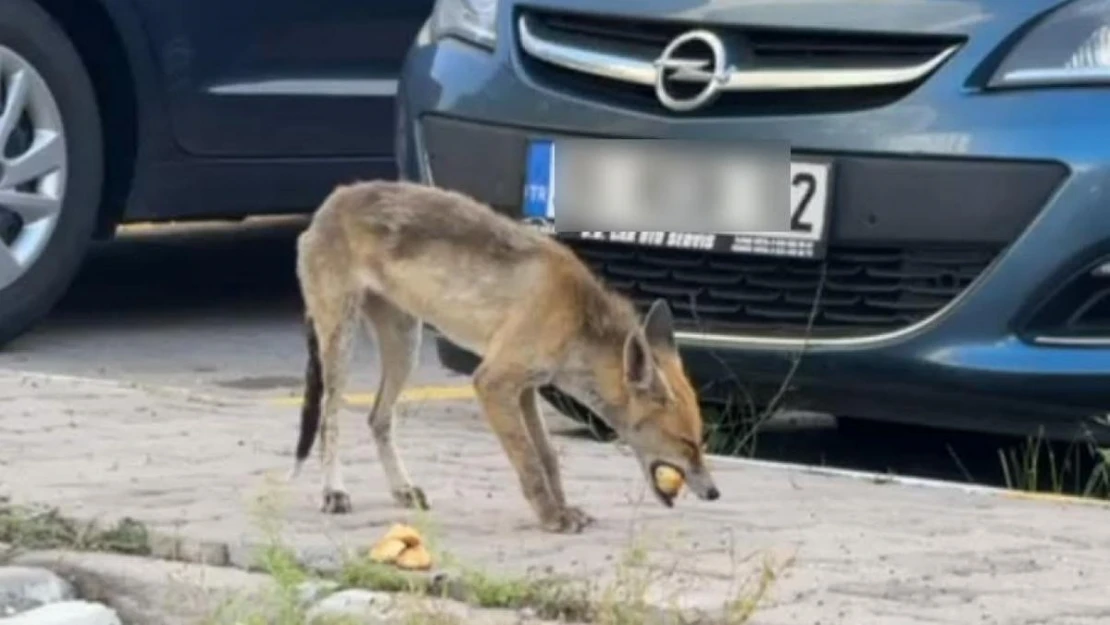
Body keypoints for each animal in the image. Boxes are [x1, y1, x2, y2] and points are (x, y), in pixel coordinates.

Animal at [290, 178, 719, 535]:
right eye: (685, 441)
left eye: (701, 439)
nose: (715, 493)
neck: (575, 317)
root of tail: (333, 198)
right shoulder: (493, 381)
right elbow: (529, 464)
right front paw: (552, 518)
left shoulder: (526, 388)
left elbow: (547, 458)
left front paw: (563, 508)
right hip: (340, 342)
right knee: (329, 421)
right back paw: (334, 492)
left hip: (404, 345)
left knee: (378, 419)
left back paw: (402, 488)